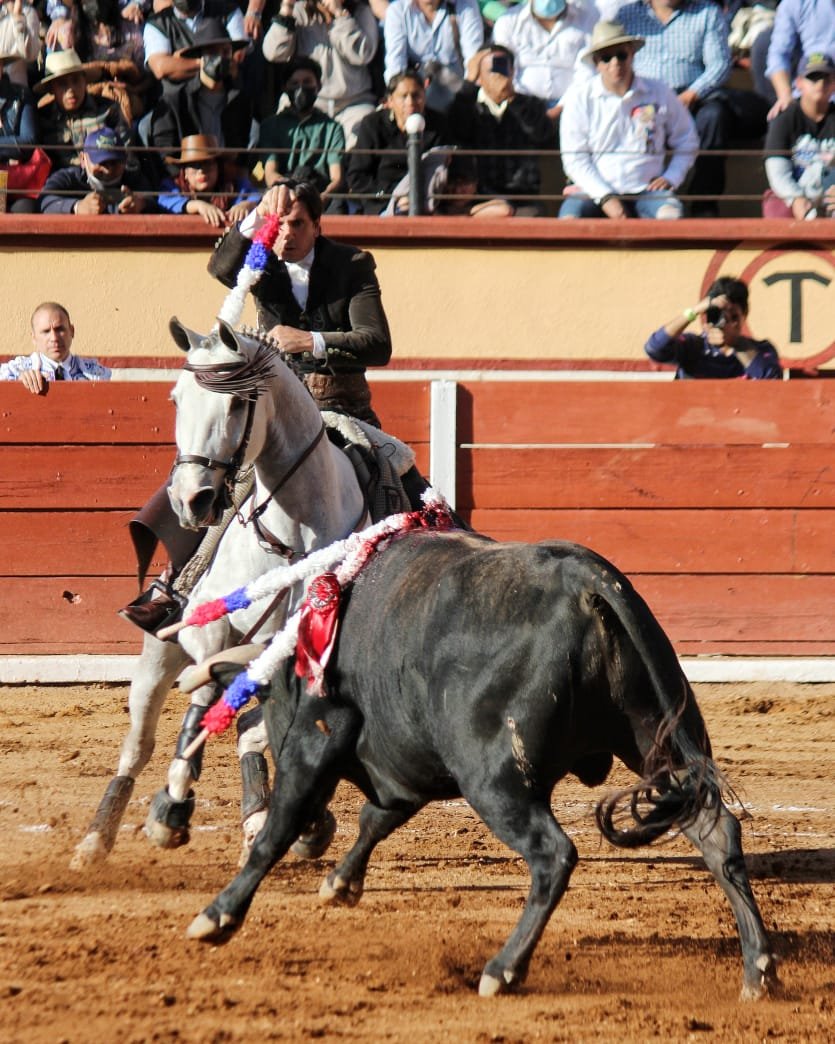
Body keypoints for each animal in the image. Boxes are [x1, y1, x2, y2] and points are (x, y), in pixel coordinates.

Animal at [70, 318, 366, 868]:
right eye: (176, 399)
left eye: (236, 404)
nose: (191, 499)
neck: (294, 531)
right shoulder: (208, 630)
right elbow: (205, 694)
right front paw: (170, 808)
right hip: (157, 652)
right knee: (139, 744)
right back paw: (96, 840)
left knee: (254, 729)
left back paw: (272, 819)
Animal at [185, 532, 779, 1001]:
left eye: (271, 707)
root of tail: (584, 580)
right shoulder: (406, 766)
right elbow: (376, 817)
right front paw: (339, 883)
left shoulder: (315, 741)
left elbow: (278, 829)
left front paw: (218, 916)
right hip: (658, 740)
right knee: (716, 833)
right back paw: (759, 971)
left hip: (495, 778)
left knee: (553, 855)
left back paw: (503, 970)